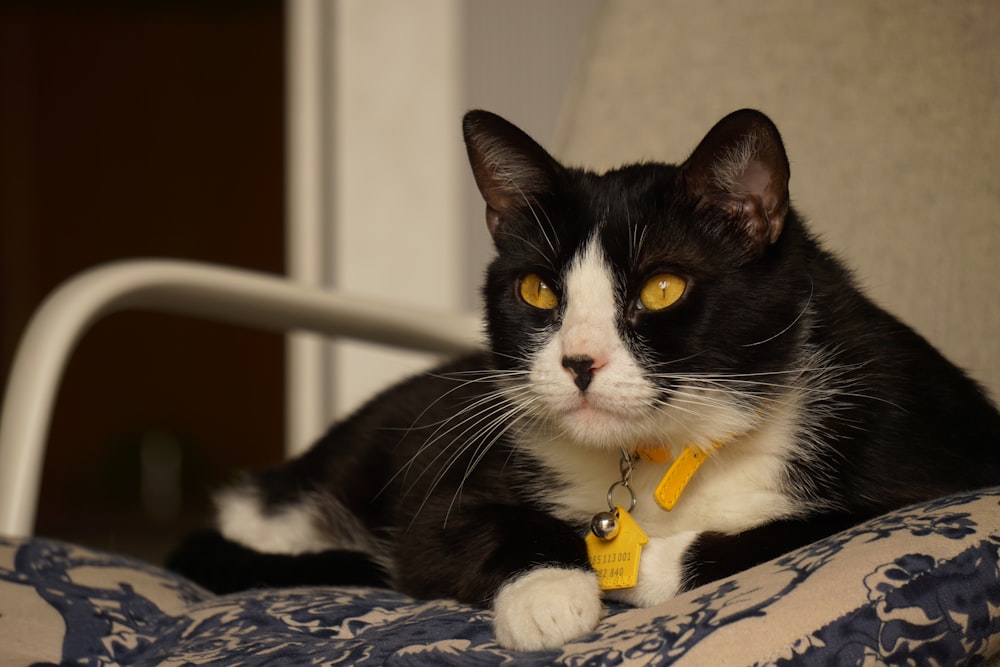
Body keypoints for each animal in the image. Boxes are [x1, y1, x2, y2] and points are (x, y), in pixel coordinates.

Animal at [170, 109, 1000, 652]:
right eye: (538, 289)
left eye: (663, 287)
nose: (578, 361)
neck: (675, 450)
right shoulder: (459, 476)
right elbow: (453, 526)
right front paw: (551, 593)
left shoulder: (926, 450)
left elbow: (803, 528)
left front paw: (637, 571)